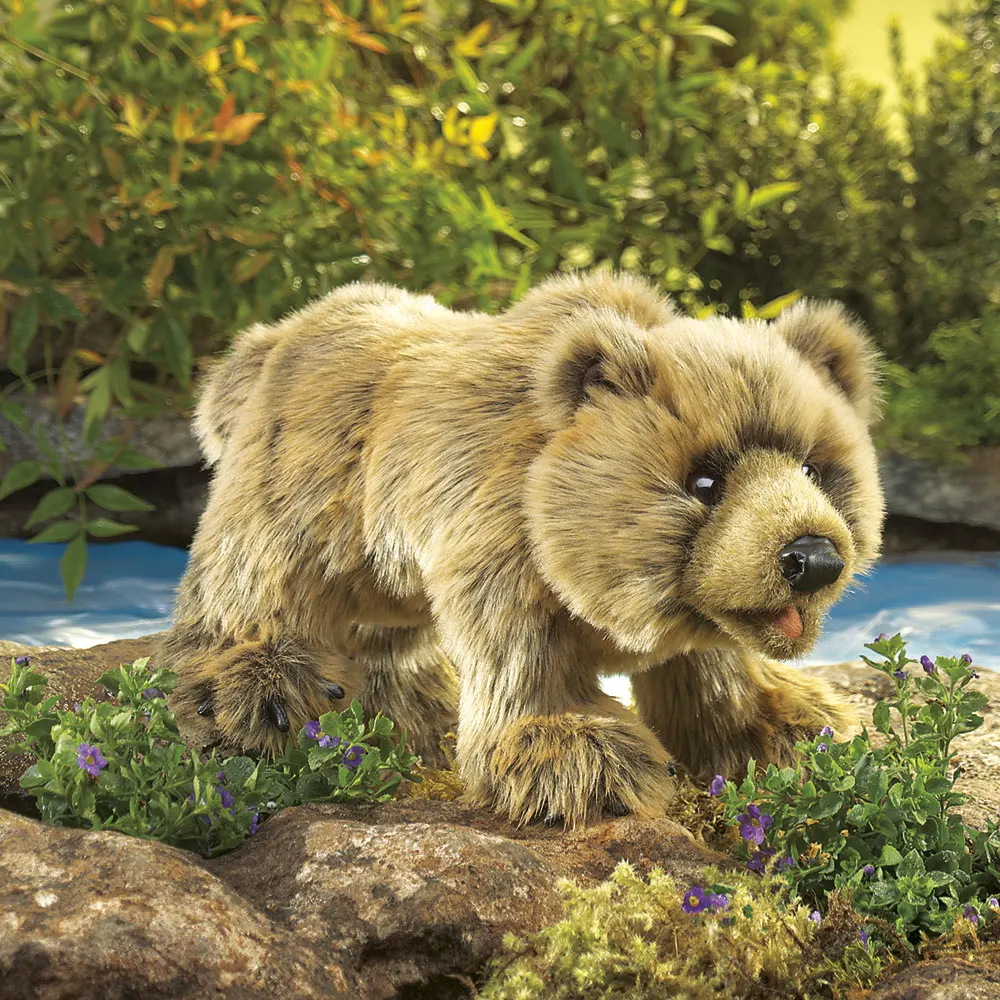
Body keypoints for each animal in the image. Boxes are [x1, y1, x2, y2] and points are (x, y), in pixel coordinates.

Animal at [159, 271, 884, 828]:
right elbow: (524, 661)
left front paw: (799, 723)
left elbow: (713, 675)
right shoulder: (499, 540)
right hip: (307, 481)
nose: (813, 558)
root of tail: (268, 339)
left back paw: (419, 716)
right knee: (254, 578)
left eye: (815, 467)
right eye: (705, 479)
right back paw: (255, 694)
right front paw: (585, 760)